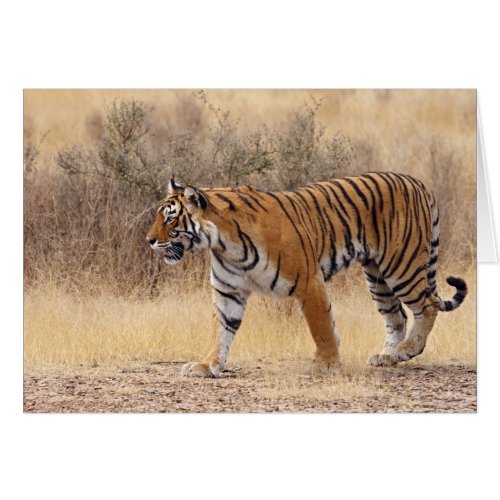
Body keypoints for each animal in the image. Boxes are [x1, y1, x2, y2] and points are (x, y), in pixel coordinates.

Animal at [146, 174, 468, 376]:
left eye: (170, 219)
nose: (148, 240)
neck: (224, 243)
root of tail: (419, 182)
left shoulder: (308, 280)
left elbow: (321, 326)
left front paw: (326, 365)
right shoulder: (228, 291)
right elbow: (221, 331)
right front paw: (206, 365)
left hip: (401, 265)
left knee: (427, 305)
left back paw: (409, 348)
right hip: (377, 276)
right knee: (396, 316)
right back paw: (389, 356)